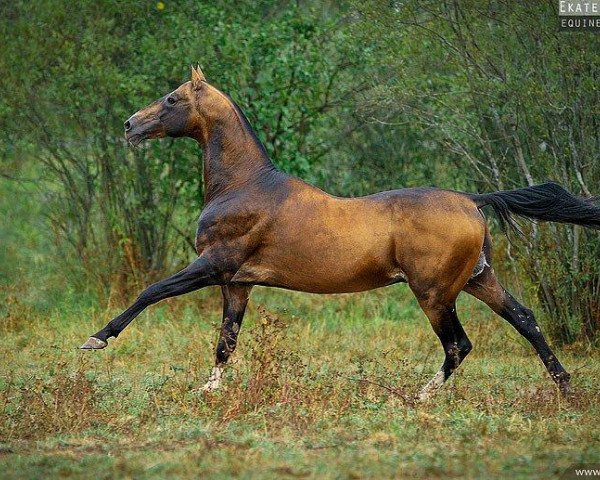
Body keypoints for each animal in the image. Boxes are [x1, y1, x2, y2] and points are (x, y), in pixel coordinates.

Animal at [81, 65, 600, 400]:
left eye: (172, 98)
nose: (130, 125)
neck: (244, 185)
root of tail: (472, 201)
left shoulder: (212, 266)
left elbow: (152, 292)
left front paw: (96, 339)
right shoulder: (237, 283)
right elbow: (226, 340)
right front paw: (208, 391)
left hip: (434, 292)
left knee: (459, 344)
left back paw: (420, 397)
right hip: (478, 279)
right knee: (526, 318)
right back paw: (566, 388)